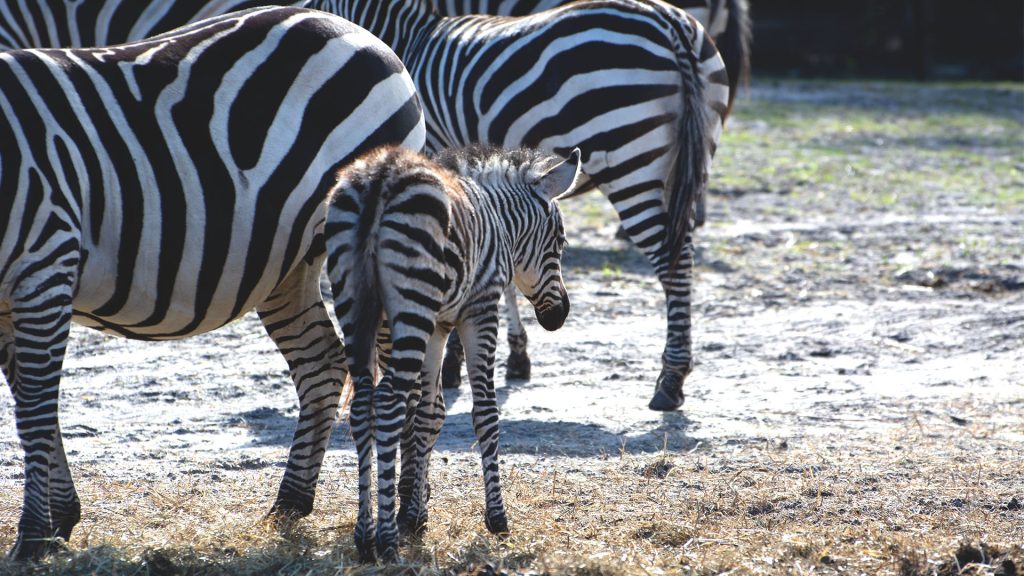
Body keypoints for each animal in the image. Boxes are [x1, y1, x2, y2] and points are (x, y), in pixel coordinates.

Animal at [0, 6, 424, 560]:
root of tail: (356, 30)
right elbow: (32, 400)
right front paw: (59, 520)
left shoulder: (45, 258)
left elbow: (32, 406)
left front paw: (33, 537)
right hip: (287, 265)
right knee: (323, 363)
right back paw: (292, 504)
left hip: (380, 247)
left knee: (406, 380)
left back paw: (403, 520)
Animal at [308, 0, 730, 411]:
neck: (409, 40)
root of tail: (670, 23)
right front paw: (516, 355)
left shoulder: (442, 160)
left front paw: (454, 362)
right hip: (686, 165)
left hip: (630, 161)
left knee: (674, 261)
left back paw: (671, 380)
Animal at [326, 144, 578, 562]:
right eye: (559, 242)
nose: (560, 315)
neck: (499, 221)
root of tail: (383, 174)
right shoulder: (480, 308)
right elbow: (486, 413)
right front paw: (497, 518)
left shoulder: (439, 325)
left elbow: (430, 414)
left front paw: (416, 517)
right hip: (413, 300)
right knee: (389, 403)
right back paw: (386, 542)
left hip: (357, 304)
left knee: (363, 407)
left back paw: (364, 537)